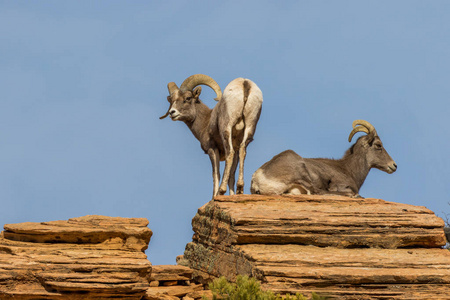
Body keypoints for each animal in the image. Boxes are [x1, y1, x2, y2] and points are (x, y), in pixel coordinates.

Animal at [250, 119, 398, 197]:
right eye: (378, 145)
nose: (394, 165)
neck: (348, 170)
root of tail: (258, 177)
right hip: (300, 170)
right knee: (317, 192)